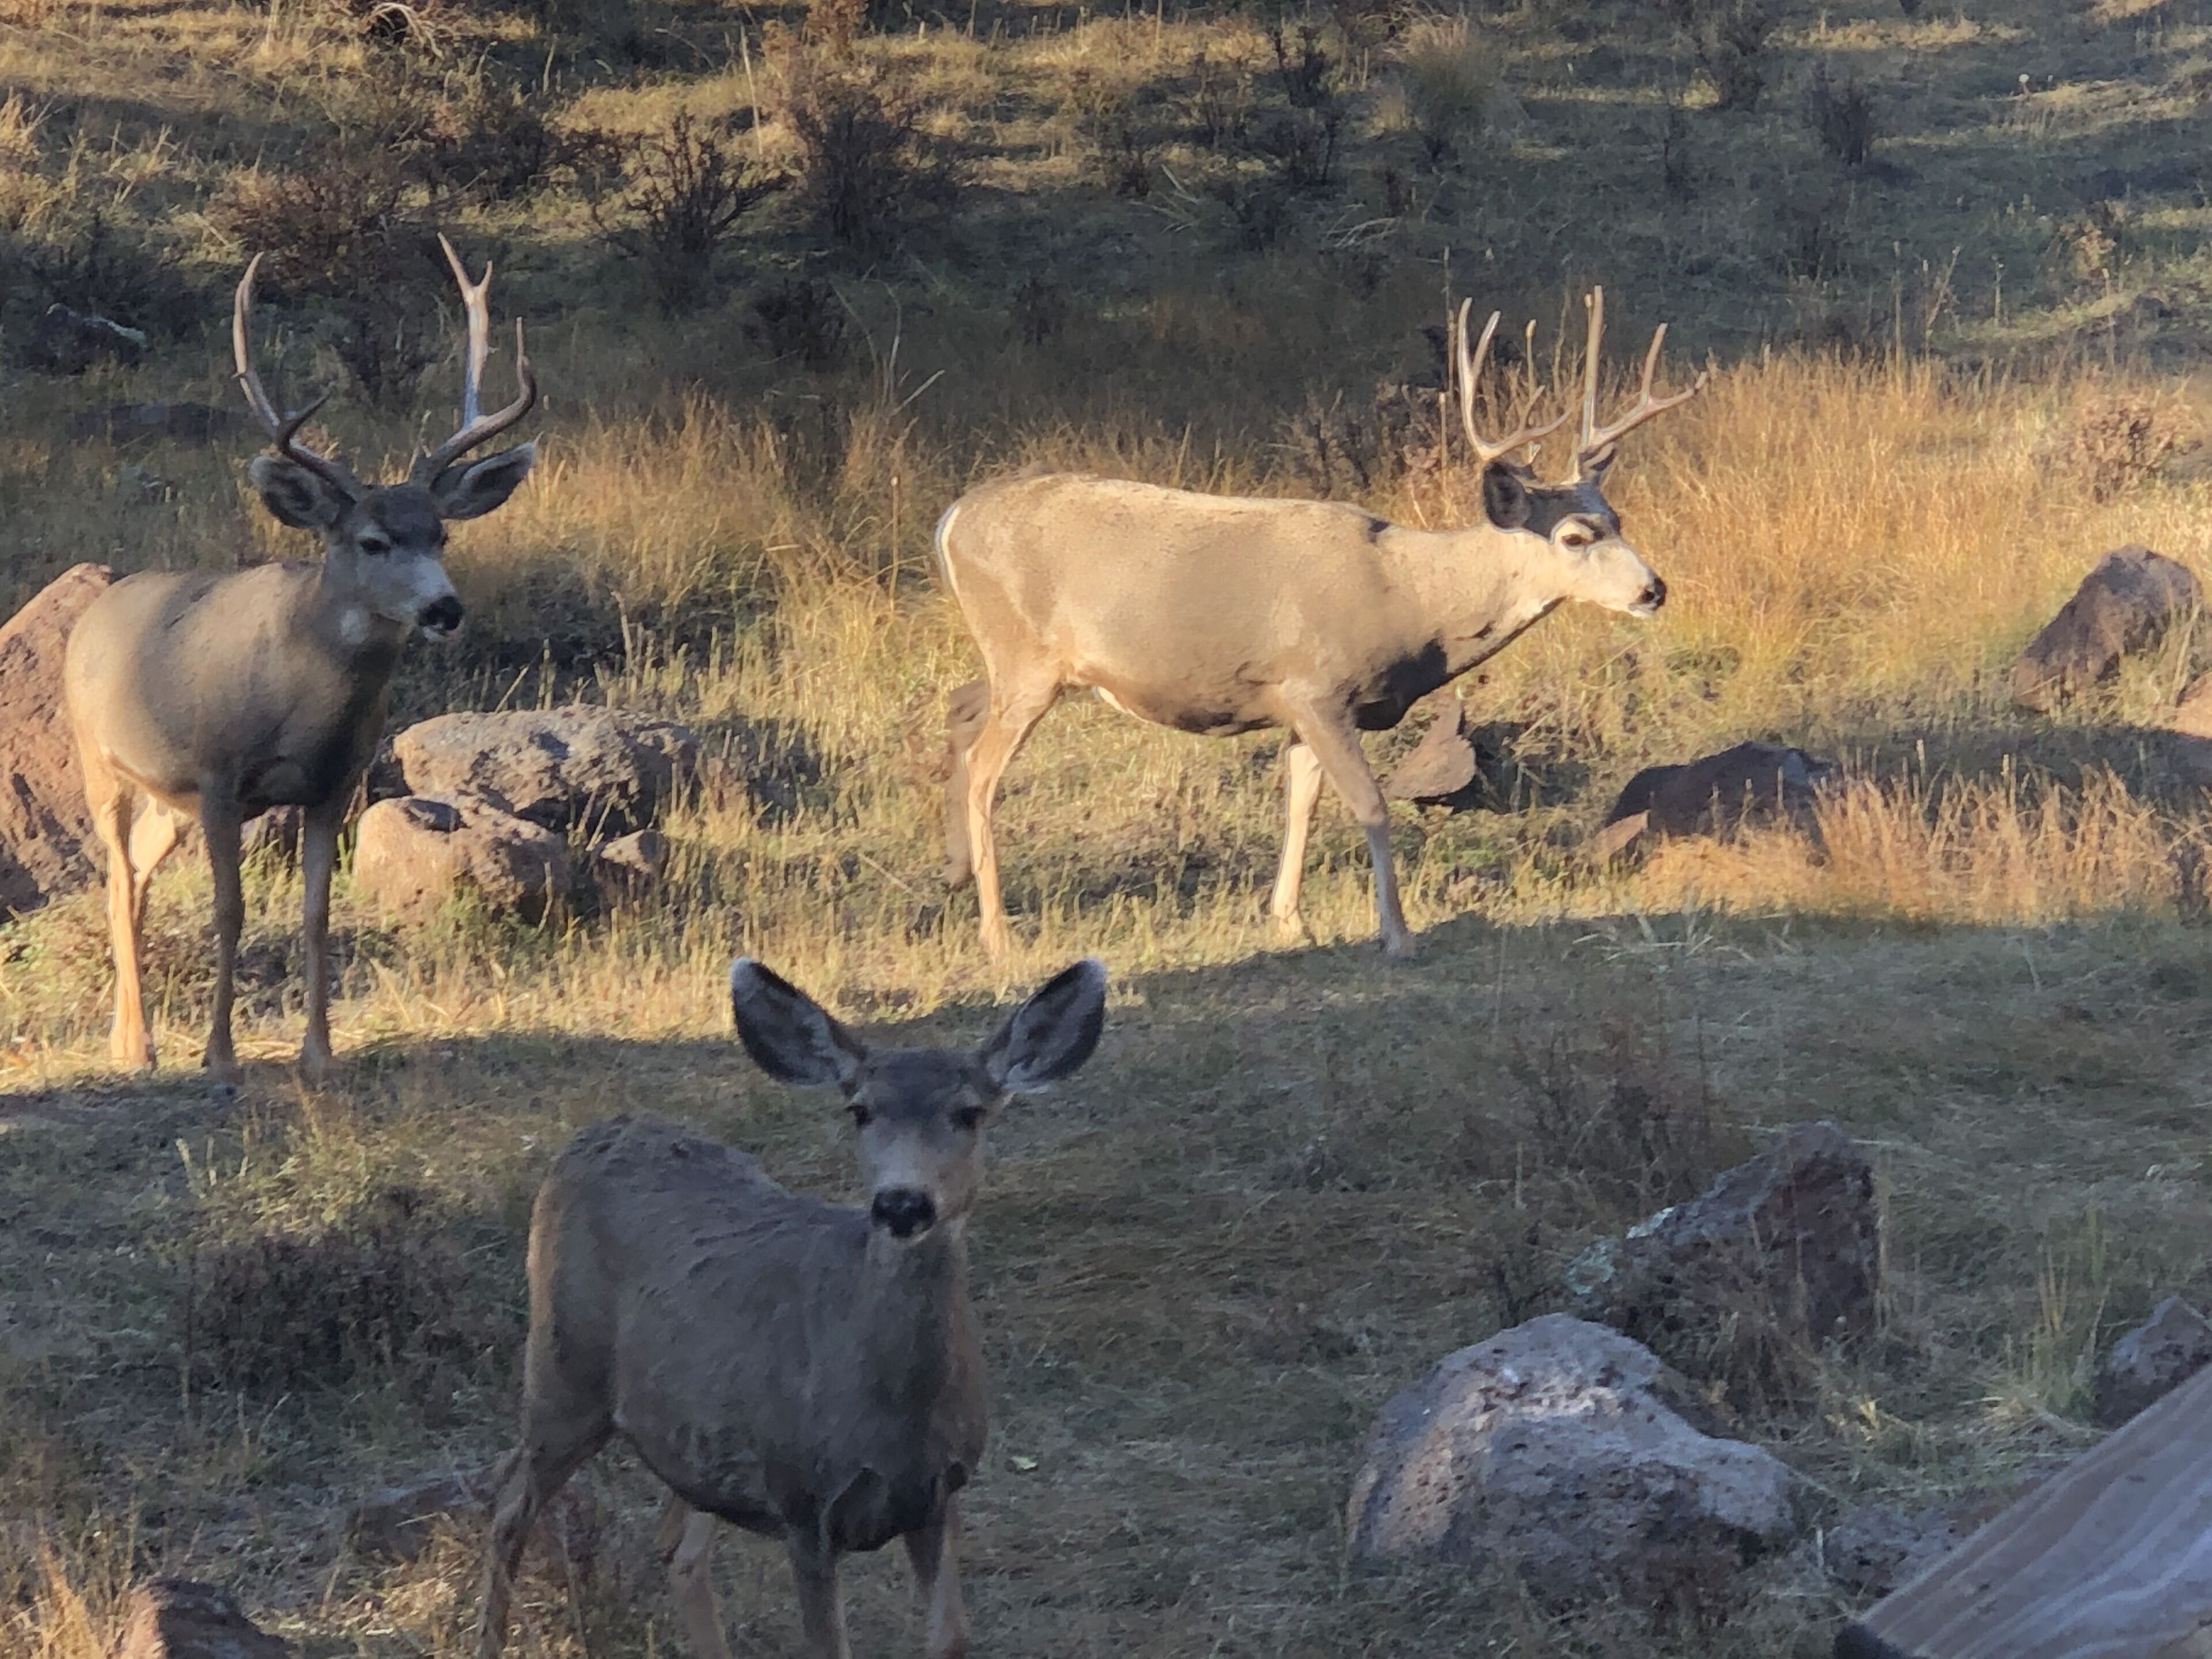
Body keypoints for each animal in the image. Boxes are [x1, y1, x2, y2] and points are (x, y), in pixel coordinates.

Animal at [62, 237, 539, 1085]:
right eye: (372, 541)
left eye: (442, 534)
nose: (445, 609)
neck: (302, 703)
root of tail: (92, 613)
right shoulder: (220, 774)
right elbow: (231, 909)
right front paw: (220, 1056)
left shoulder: (332, 784)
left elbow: (317, 912)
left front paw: (319, 1053)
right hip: (100, 762)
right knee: (116, 879)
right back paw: (140, 1047)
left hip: (166, 802)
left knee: (137, 876)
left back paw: (128, 1037)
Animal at [474, 957, 1108, 1659]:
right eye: (860, 1110)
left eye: (969, 1113)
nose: (902, 1203)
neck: (893, 1418)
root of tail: (590, 1136)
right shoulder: (803, 1499)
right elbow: (829, 1646)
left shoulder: (939, 1493)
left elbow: (951, 1638)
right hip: (563, 1376)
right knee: (509, 1507)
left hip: (694, 1434)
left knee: (678, 1547)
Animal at [935, 287, 1704, 960]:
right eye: (1574, 537)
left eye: (1617, 519)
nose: (1653, 589)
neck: (1411, 600)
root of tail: (952, 519)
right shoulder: (1317, 687)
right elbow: (1369, 805)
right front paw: (1397, 935)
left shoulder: (1299, 706)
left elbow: (1301, 803)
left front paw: (1289, 921)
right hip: (1028, 660)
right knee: (984, 770)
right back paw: (997, 934)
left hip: (1014, 663)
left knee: (962, 712)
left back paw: (958, 875)